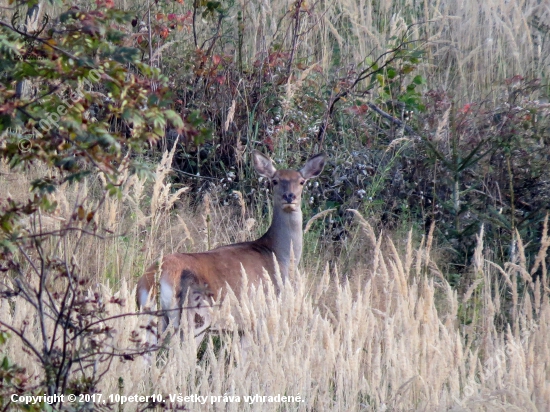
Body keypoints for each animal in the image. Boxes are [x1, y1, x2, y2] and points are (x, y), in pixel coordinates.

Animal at [137, 150, 326, 342]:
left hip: (150, 315)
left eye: (301, 181)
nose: (289, 196)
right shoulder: (258, 317)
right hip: (195, 319)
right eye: (275, 180)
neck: (278, 256)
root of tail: (157, 277)